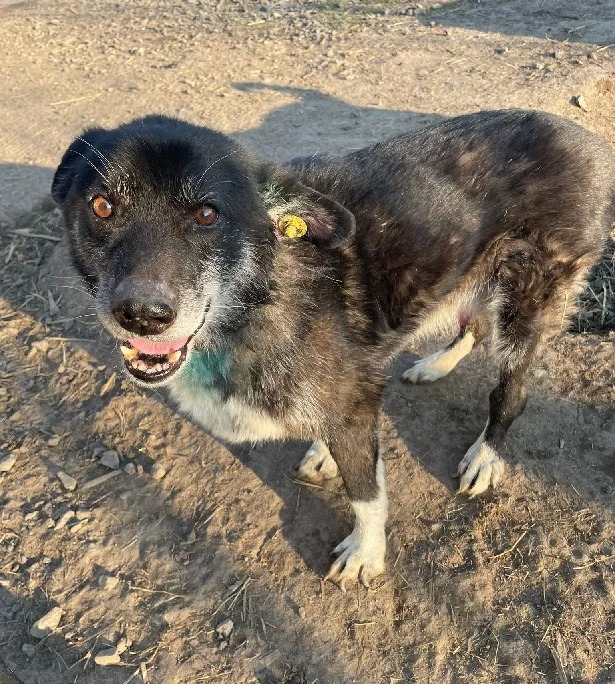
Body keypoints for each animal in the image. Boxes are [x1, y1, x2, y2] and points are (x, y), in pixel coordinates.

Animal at [51, 111, 615, 588]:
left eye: (208, 214)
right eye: (102, 206)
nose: (142, 314)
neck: (258, 301)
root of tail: (586, 139)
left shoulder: (354, 408)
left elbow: (366, 493)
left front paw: (366, 552)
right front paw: (325, 453)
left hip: (525, 304)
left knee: (510, 392)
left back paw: (485, 454)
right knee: (471, 323)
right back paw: (435, 365)